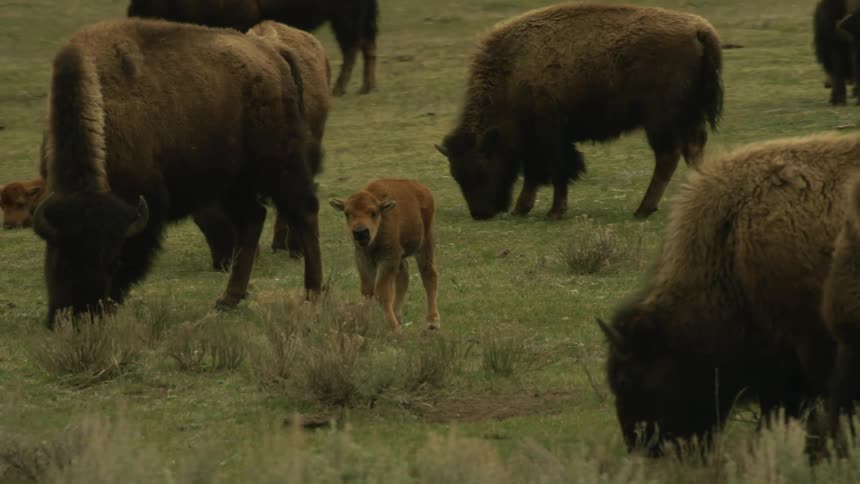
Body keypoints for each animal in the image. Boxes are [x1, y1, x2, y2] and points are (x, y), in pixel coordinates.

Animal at [32, 18, 322, 328]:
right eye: (60, 258)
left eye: (113, 260)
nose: (80, 317)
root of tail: (272, 52)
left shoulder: (145, 207)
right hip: (233, 182)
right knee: (253, 218)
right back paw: (228, 299)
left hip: (279, 164)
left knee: (304, 211)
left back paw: (313, 293)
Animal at [126, 0, 378, 96]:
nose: (132, 15)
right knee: (366, 45)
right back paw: (365, 86)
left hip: (345, 17)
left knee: (353, 46)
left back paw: (340, 88)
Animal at [329, 179, 440, 332]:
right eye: (347, 213)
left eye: (373, 213)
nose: (360, 233)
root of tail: (422, 189)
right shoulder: (362, 259)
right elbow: (367, 291)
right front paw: (362, 325)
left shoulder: (388, 259)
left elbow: (382, 293)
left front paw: (394, 329)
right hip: (401, 257)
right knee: (404, 278)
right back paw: (398, 315)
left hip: (424, 244)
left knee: (429, 276)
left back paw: (432, 322)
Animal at [434, 4, 723, 221]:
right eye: (456, 174)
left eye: (482, 169)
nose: (481, 214)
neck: (512, 74)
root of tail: (699, 29)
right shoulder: (534, 142)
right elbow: (534, 174)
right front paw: (522, 209)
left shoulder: (550, 136)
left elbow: (556, 169)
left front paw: (554, 212)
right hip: (687, 118)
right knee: (693, 149)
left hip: (661, 120)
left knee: (667, 157)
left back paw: (642, 210)